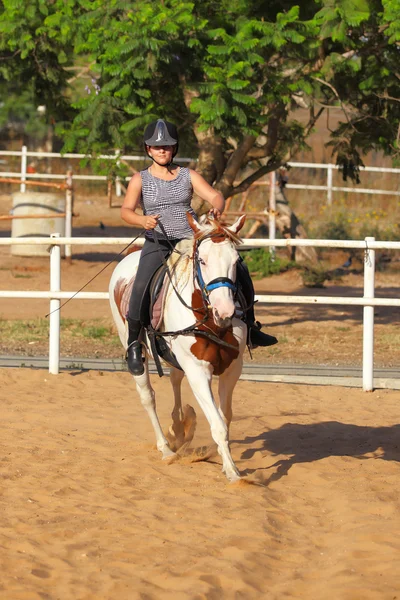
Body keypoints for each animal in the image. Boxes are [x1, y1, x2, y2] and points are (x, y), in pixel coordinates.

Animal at [109, 213, 247, 480]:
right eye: (202, 260)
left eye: (236, 261)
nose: (225, 311)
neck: (211, 322)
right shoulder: (198, 371)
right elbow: (218, 424)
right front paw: (233, 473)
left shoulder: (232, 368)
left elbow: (225, 417)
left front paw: (222, 459)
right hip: (132, 345)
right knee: (148, 396)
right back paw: (165, 447)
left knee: (174, 378)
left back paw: (179, 427)